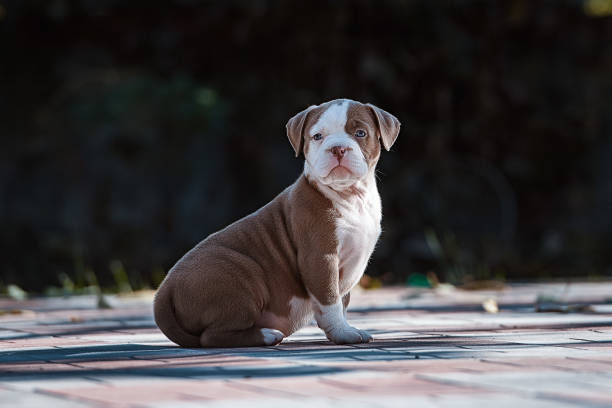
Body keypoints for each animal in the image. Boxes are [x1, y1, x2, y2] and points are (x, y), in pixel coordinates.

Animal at [155, 99, 400, 348]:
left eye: (360, 133)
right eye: (317, 136)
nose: (338, 148)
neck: (350, 196)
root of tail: (165, 290)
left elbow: (343, 301)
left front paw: (344, 327)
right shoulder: (321, 258)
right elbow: (330, 300)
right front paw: (343, 332)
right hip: (242, 276)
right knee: (212, 336)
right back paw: (267, 335)